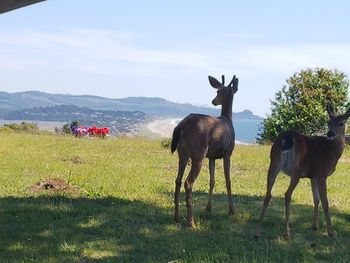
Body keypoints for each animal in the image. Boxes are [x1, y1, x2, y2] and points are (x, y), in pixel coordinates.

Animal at [170, 75, 238, 229]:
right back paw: (192, 223)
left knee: (178, 180)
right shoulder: (228, 153)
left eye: (219, 91)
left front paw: (209, 208)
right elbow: (228, 181)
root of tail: (181, 126)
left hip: (183, 154)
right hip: (198, 153)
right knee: (188, 182)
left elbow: (212, 181)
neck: (228, 120)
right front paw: (231, 211)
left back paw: (177, 218)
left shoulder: (212, 156)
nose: (214, 101)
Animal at [254, 103, 350, 241]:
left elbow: (316, 200)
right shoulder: (321, 174)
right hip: (296, 170)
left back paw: (257, 232)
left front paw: (314, 226)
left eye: (341, 123)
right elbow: (325, 202)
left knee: (268, 194)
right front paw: (331, 232)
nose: (330, 133)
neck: (331, 151)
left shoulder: (312, 176)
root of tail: (287, 139)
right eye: (329, 121)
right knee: (287, 194)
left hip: (273, 163)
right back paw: (286, 233)